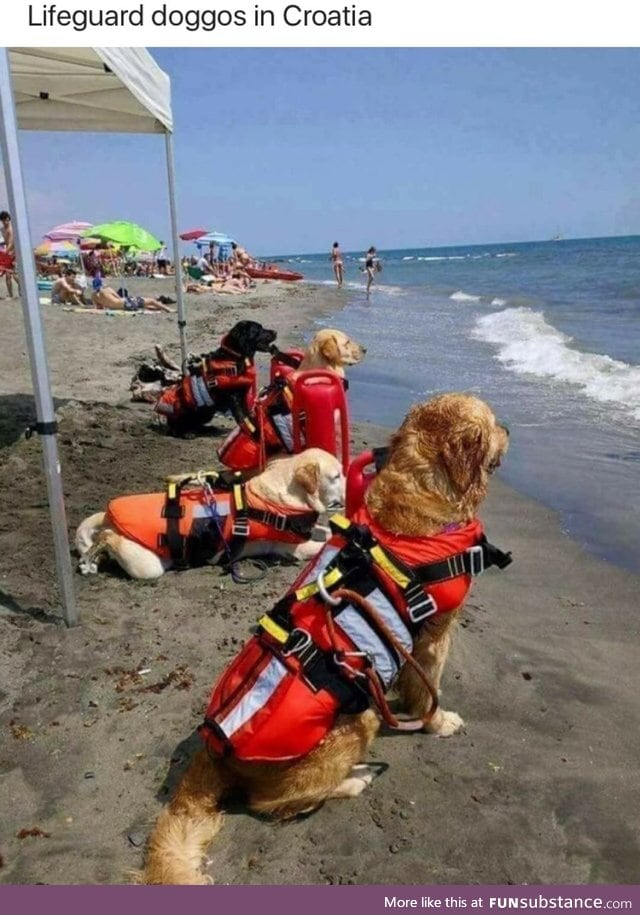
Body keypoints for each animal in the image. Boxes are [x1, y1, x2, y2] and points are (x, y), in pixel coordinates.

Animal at [77, 450, 348, 584]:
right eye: (336, 476)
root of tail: (108, 516)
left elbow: (326, 531)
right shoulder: (295, 548)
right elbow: (323, 543)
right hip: (147, 566)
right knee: (107, 537)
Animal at [139, 394, 510, 880]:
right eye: (493, 422)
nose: (510, 428)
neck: (418, 490)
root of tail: (213, 750)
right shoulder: (435, 634)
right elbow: (429, 689)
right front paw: (437, 722)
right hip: (359, 720)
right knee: (273, 802)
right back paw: (355, 780)